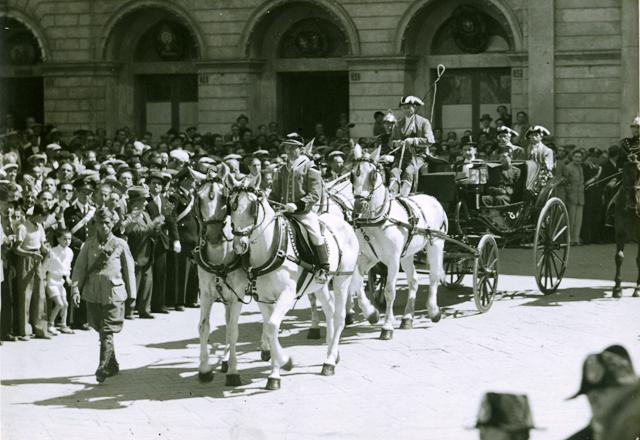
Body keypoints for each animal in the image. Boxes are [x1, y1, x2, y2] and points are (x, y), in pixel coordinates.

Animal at [192, 168, 268, 384]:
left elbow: (234, 330)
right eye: (198, 198)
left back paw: (266, 347)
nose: (213, 236)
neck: (221, 256)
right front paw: (204, 369)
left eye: (223, 197)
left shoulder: (237, 296)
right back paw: (224, 359)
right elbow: (204, 327)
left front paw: (234, 372)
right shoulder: (206, 294)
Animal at [229, 184, 360, 390]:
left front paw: (284, 363)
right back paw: (332, 351)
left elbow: (272, 326)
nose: (239, 245)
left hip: (341, 281)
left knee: (339, 317)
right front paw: (276, 373)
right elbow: (270, 329)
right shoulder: (263, 299)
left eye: (252, 208)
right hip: (319, 286)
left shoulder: (286, 295)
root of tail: (344, 223)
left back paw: (329, 362)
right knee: (329, 311)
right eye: (231, 207)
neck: (272, 248)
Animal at [348, 144, 448, 340]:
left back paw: (433, 311)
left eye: (373, 175)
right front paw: (372, 314)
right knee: (413, 280)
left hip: (436, 244)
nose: (359, 206)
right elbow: (356, 282)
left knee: (433, 276)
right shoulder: (369, 257)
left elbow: (389, 290)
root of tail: (432, 198)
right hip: (407, 254)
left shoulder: (392, 259)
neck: (379, 219)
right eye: (351, 175)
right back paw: (407, 317)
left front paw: (386, 327)